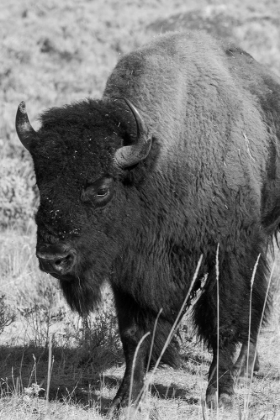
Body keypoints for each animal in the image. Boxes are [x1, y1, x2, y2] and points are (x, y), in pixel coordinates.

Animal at [15, 31, 278, 408]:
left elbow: (223, 322)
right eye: (40, 182)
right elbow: (134, 333)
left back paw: (243, 371)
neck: (158, 162)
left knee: (257, 300)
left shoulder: (228, 255)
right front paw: (124, 400)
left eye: (102, 189)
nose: (53, 258)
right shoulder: (129, 266)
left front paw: (219, 395)